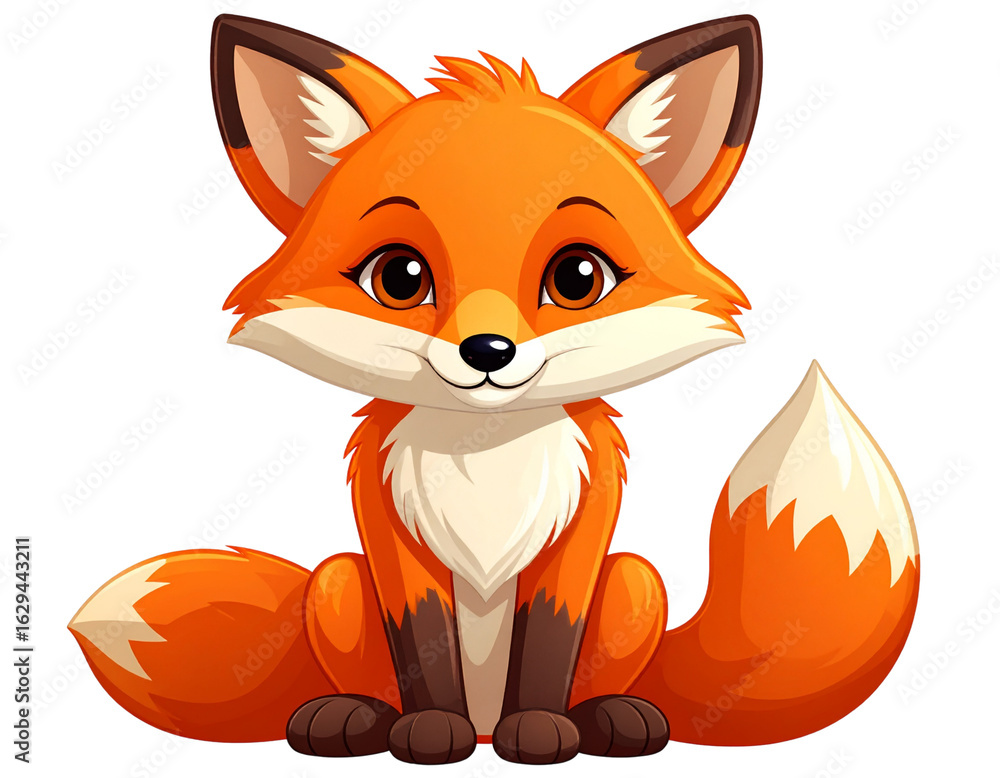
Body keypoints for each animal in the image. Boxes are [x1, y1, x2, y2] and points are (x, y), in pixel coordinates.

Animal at [69, 14, 919, 765]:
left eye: (578, 277)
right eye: (399, 277)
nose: (488, 351)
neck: (485, 457)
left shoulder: (583, 535)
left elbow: (548, 645)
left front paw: (541, 731)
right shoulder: (390, 540)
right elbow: (425, 644)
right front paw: (428, 732)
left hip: (634, 581)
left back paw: (612, 718)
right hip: (337, 582)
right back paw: (353, 717)